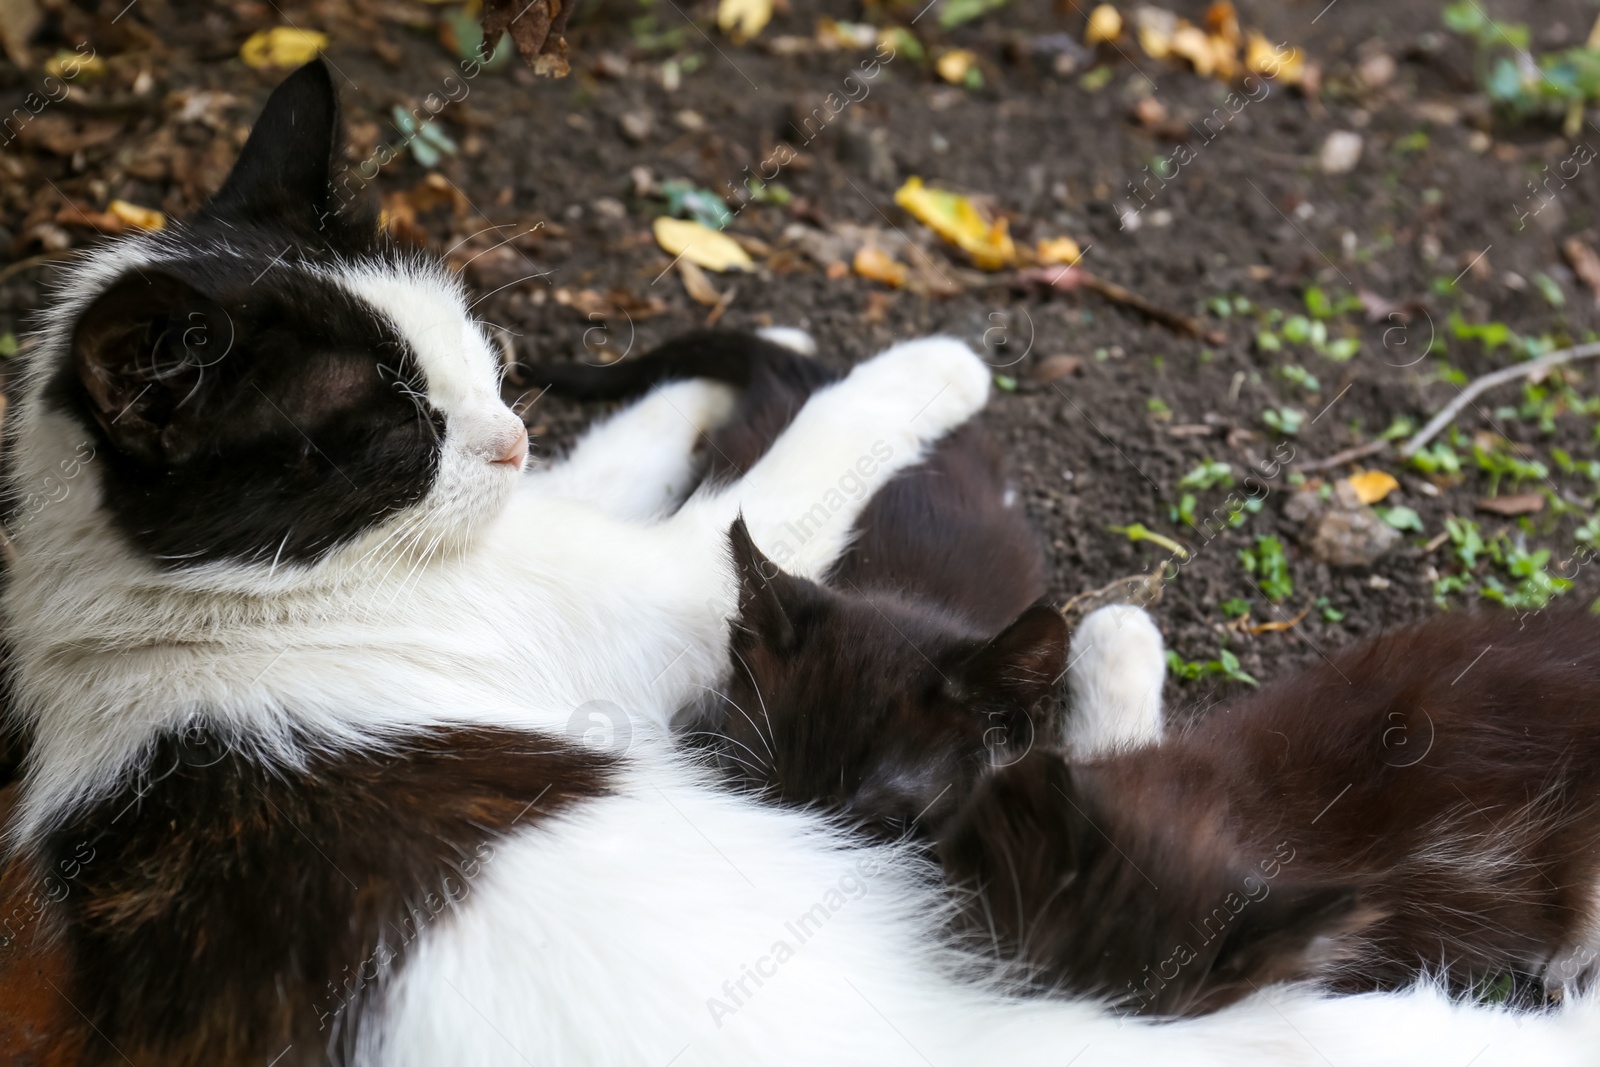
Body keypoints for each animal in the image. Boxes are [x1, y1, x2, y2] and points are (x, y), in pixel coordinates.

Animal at [6, 60, 1593, 1067]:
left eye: (472, 354)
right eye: (395, 429)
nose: (506, 437)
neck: (198, 592)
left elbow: (641, 454)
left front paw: (714, 377)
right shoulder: (660, 593)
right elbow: (796, 468)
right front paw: (929, 364)